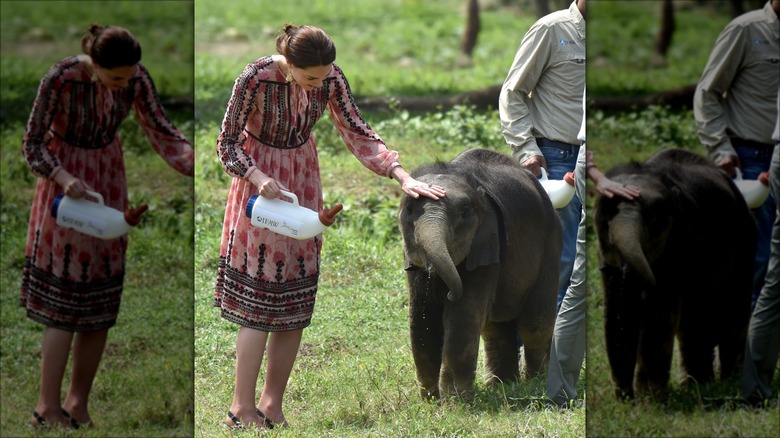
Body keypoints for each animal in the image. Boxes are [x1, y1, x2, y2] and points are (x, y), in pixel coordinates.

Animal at [396, 149, 560, 398]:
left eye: (464, 214)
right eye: (409, 211)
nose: (448, 293)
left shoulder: (487, 245)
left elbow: (463, 315)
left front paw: (454, 403)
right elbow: (423, 315)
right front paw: (430, 400)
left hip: (550, 245)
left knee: (534, 322)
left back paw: (536, 383)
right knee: (495, 326)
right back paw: (502, 385)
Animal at [596, 149, 756, 402]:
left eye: (654, 221)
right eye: (605, 222)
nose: (627, 397)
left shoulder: (680, 244)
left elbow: (659, 312)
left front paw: (650, 402)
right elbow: (616, 313)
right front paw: (625, 401)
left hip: (744, 244)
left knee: (732, 312)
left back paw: (729, 383)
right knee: (695, 320)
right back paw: (697, 385)